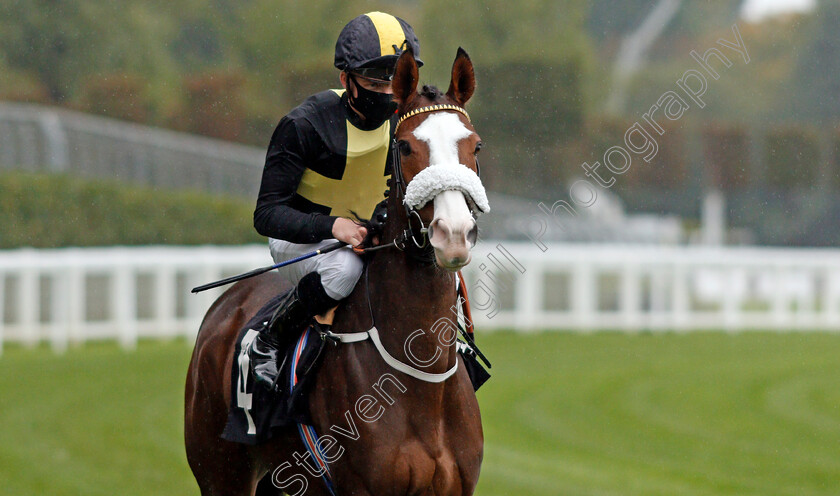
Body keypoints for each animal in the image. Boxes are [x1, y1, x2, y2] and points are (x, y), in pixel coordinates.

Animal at [184, 47, 486, 496]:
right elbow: (271, 206)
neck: (421, 377)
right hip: (222, 473)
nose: (453, 234)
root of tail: (226, 305)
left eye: (475, 146)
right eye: (405, 146)